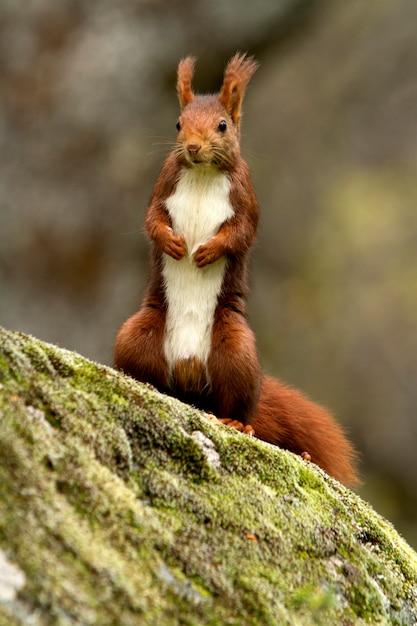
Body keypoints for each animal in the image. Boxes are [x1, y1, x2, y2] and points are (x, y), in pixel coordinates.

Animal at [114, 52, 358, 482]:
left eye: (223, 125)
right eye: (178, 123)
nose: (193, 146)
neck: (201, 173)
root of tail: (189, 374)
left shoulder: (246, 197)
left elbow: (241, 234)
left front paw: (207, 251)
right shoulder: (163, 185)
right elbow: (151, 220)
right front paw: (173, 244)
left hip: (236, 353)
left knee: (236, 402)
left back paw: (235, 423)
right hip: (137, 335)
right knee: (148, 372)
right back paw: (142, 383)